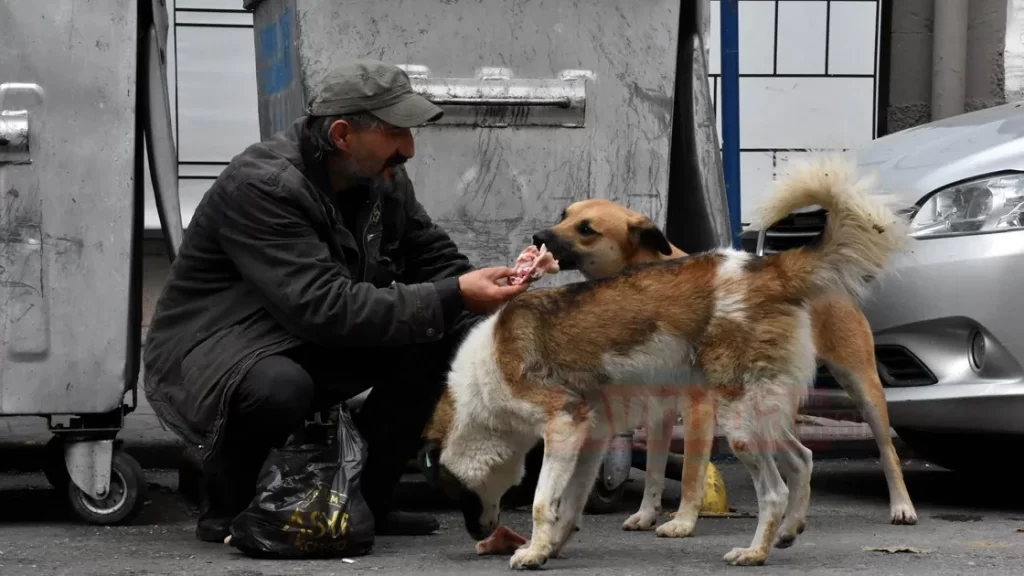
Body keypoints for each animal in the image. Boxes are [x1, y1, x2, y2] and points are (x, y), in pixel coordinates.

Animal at [419, 155, 909, 565]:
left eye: (451, 490)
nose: (478, 535)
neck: (482, 382)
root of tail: (770, 270)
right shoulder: (588, 436)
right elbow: (569, 504)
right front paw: (551, 547)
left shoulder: (562, 422)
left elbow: (543, 502)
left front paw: (534, 551)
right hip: (760, 413)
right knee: (803, 459)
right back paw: (787, 532)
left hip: (747, 420)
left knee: (775, 490)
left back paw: (755, 553)